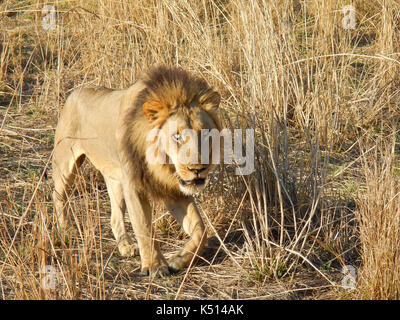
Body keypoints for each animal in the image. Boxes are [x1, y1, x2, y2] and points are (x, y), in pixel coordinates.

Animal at [51, 65, 222, 276]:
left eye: (206, 134)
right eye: (177, 136)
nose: (197, 169)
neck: (162, 165)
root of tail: (75, 92)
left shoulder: (173, 190)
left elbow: (201, 230)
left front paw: (179, 259)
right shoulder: (133, 185)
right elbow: (144, 226)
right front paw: (155, 266)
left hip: (115, 179)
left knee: (115, 216)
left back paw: (126, 247)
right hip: (65, 164)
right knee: (58, 195)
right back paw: (65, 231)